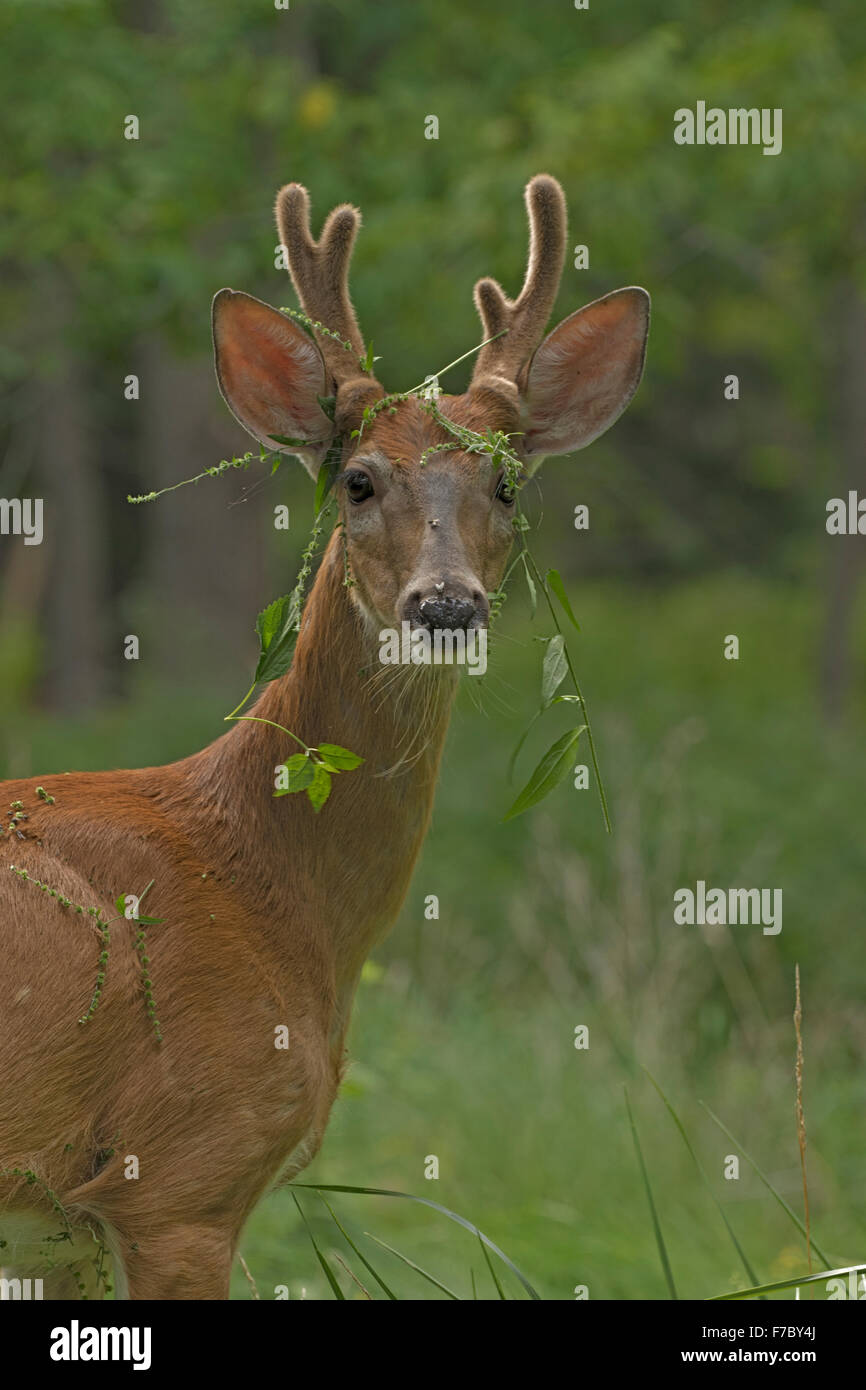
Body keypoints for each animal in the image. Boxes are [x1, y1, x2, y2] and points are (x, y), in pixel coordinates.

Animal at [0, 176, 650, 1301]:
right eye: (357, 479)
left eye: (506, 484)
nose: (446, 605)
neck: (270, 882)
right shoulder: (179, 1173)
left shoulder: (58, 1238)